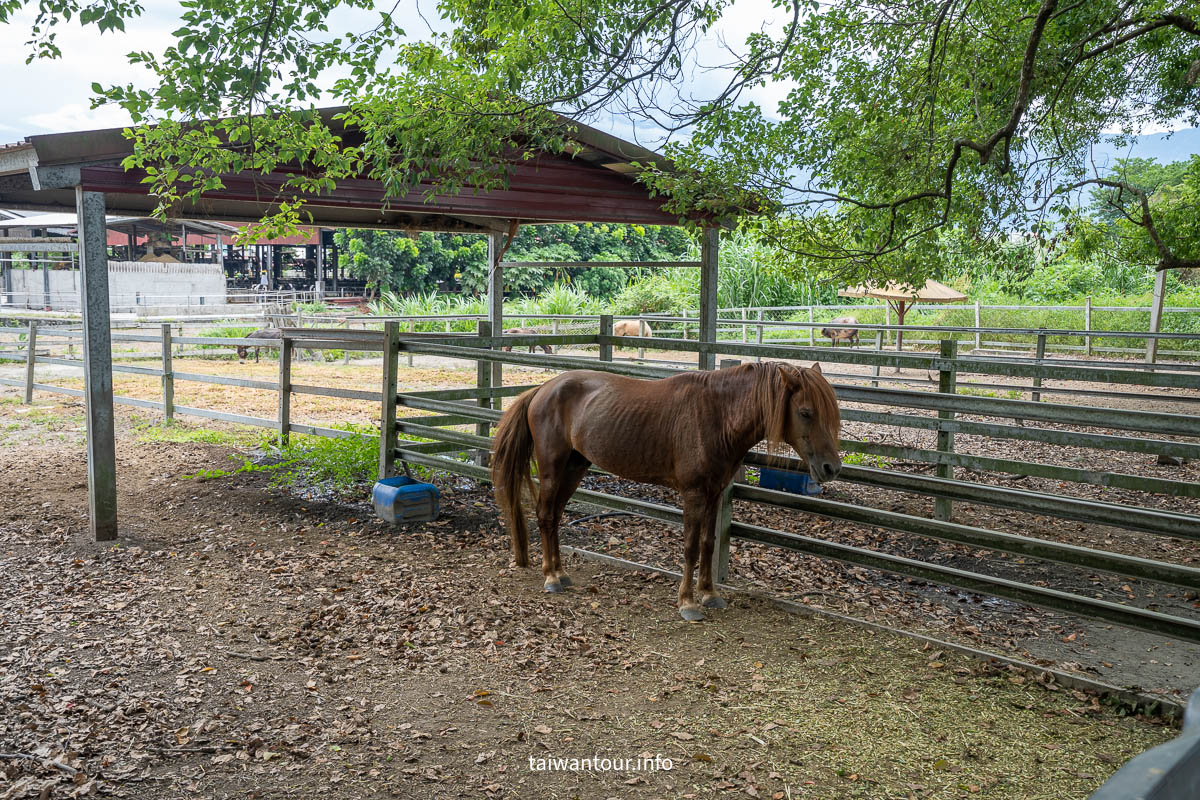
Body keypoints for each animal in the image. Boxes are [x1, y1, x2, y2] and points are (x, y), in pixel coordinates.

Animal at [492, 362, 840, 618]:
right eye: (805, 412)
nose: (831, 468)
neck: (716, 415)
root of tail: (542, 389)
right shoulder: (693, 494)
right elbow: (690, 548)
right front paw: (688, 603)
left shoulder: (714, 494)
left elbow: (708, 544)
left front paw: (709, 594)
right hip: (552, 469)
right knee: (545, 515)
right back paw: (551, 577)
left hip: (575, 468)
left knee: (554, 516)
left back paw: (561, 574)